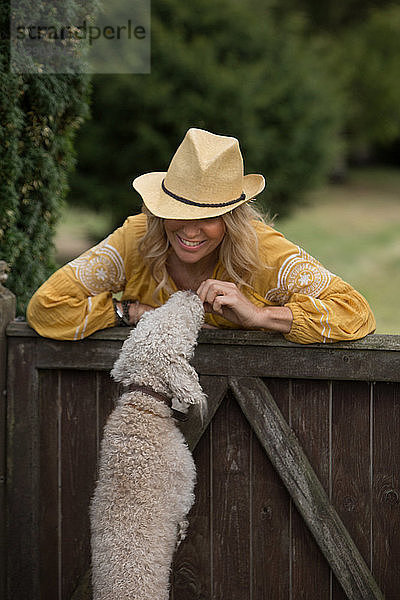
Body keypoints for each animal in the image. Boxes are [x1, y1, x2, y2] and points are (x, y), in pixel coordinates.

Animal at [90, 290, 206, 600]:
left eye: (153, 315)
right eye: (178, 327)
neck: (143, 405)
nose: (189, 292)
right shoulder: (184, 484)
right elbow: (183, 511)